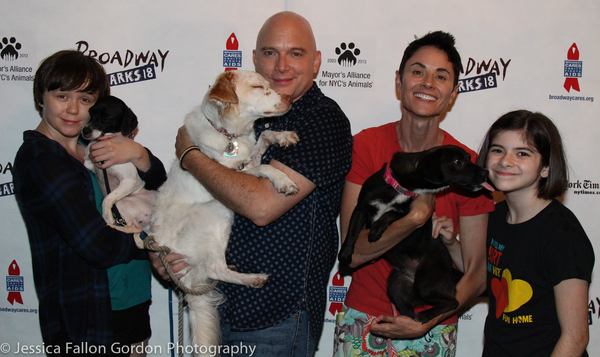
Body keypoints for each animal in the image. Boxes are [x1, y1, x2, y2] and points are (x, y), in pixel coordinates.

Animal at [340, 145, 490, 322]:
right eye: (457, 161)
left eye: (469, 158)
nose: (486, 173)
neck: (401, 187)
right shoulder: (361, 207)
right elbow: (351, 232)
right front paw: (344, 254)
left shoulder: (409, 212)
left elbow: (391, 213)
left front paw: (377, 228)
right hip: (396, 284)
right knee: (408, 309)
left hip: (426, 282)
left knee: (453, 301)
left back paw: (426, 314)